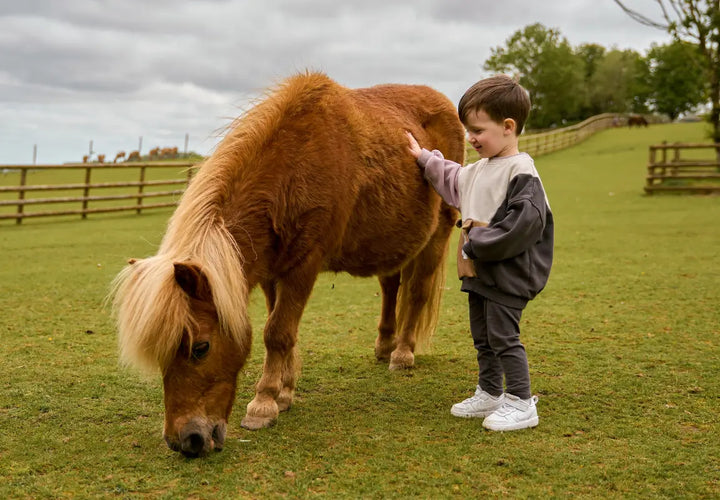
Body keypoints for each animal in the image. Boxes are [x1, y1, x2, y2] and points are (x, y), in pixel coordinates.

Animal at [111, 72, 465, 457]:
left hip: (438, 234)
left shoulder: (303, 265)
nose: (185, 441)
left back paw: (402, 353)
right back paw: (385, 346)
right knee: (390, 288)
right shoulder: (270, 270)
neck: (293, 165)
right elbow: (278, 326)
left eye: (200, 347)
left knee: (416, 294)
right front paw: (285, 391)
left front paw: (264, 403)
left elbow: (277, 332)